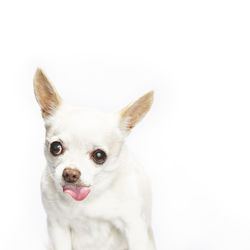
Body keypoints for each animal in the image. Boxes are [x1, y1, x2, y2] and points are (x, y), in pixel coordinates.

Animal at [33, 68, 156, 250]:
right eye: (55, 148)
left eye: (99, 156)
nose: (70, 173)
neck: (90, 198)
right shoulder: (57, 226)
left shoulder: (134, 227)